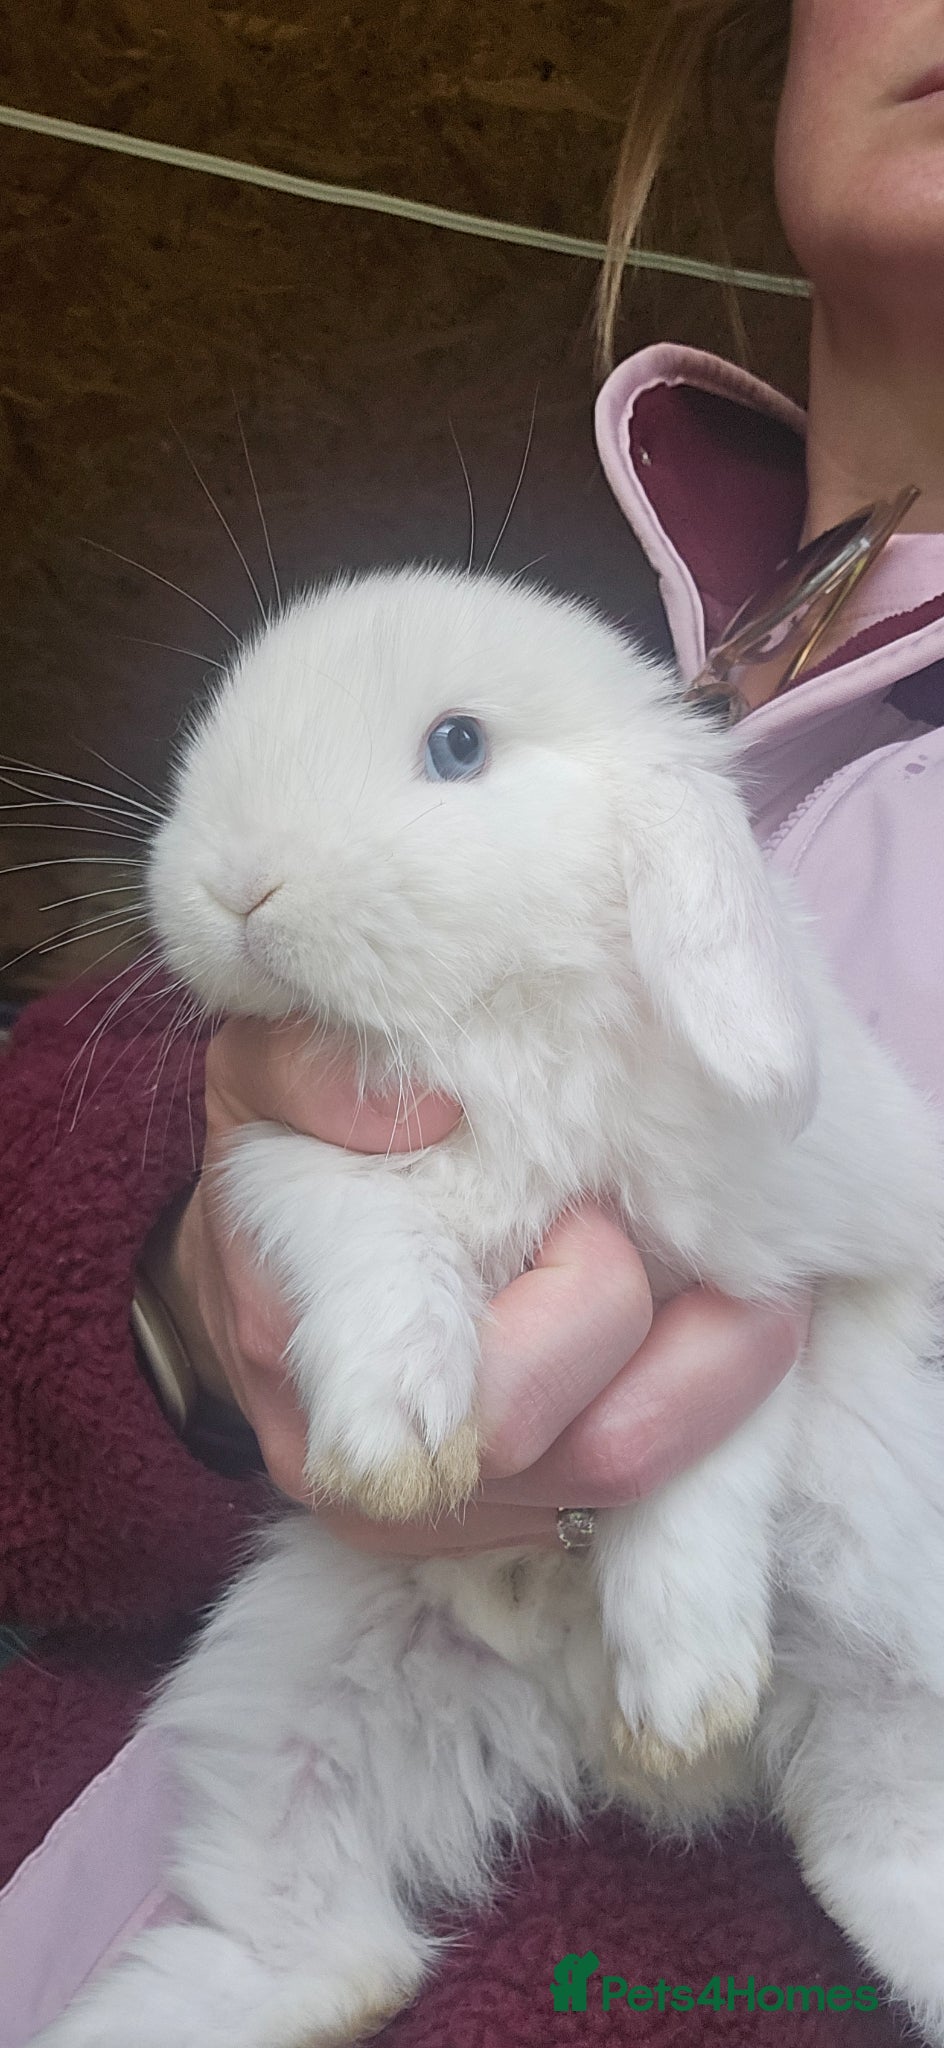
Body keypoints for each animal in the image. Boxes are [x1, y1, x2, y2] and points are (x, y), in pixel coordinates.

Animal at [38, 566, 944, 2048]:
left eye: (456, 747)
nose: (233, 884)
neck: (493, 1024)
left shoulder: (783, 1295)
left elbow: (709, 1459)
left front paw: (684, 1681)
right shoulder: (287, 1167)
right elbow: (372, 1244)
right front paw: (395, 1442)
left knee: (879, 1849)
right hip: (289, 1689)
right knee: (336, 1948)